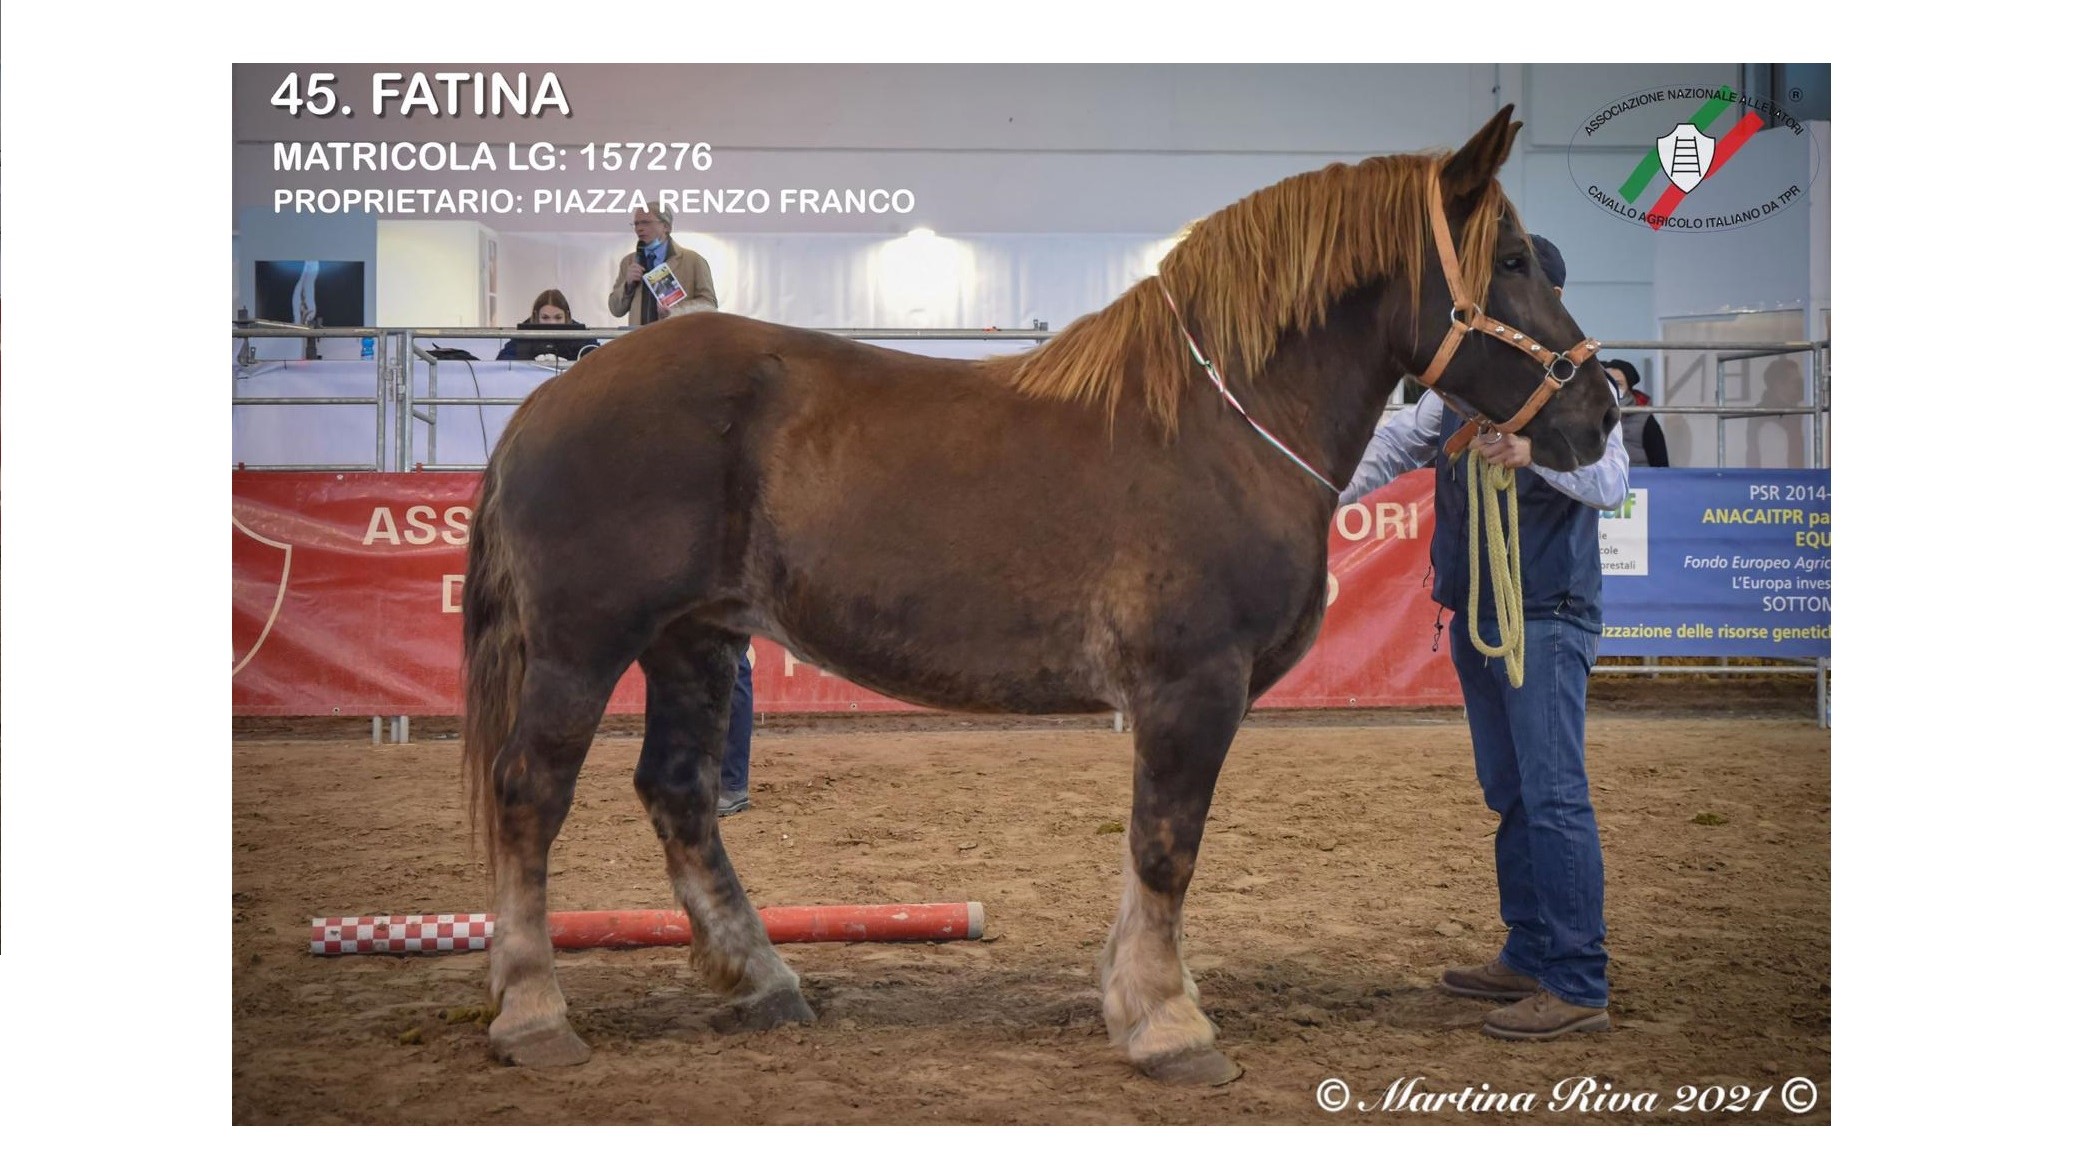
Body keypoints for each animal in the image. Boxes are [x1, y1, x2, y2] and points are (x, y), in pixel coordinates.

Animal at [460, 106, 1617, 1086]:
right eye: (1511, 261)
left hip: (694, 643)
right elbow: (1165, 846)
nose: (1600, 415)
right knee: (530, 794)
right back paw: (535, 1014)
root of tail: (548, 400)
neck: (1221, 425)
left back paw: (762, 979)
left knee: (679, 794)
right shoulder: (1190, 689)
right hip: (582, 648)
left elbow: (1148, 857)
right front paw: (1168, 1025)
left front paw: (1135, 996)